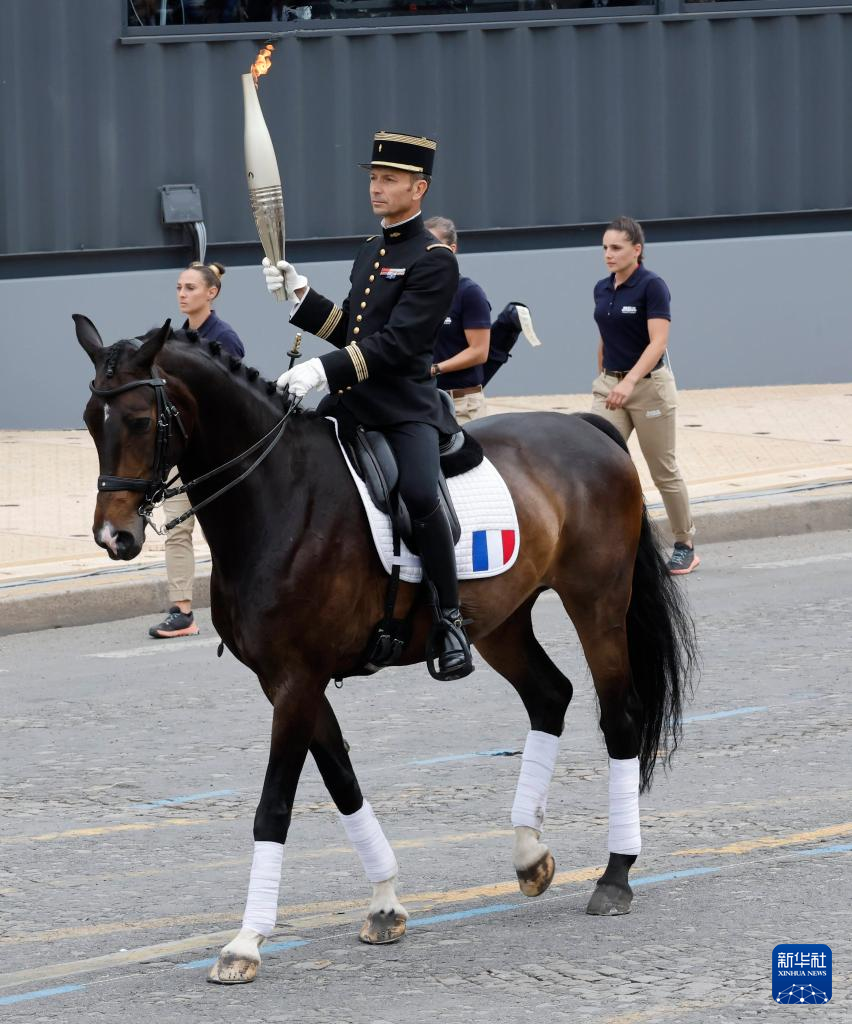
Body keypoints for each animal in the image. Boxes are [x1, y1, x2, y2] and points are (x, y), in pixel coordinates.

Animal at [76, 313, 696, 983]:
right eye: (89, 419)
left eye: (141, 420)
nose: (115, 536)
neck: (280, 495)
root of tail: (586, 426)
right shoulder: (287, 680)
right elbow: (342, 781)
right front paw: (384, 905)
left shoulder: (296, 680)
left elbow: (275, 805)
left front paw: (246, 941)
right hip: (502, 622)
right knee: (550, 697)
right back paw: (530, 854)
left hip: (597, 604)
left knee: (619, 717)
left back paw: (615, 874)